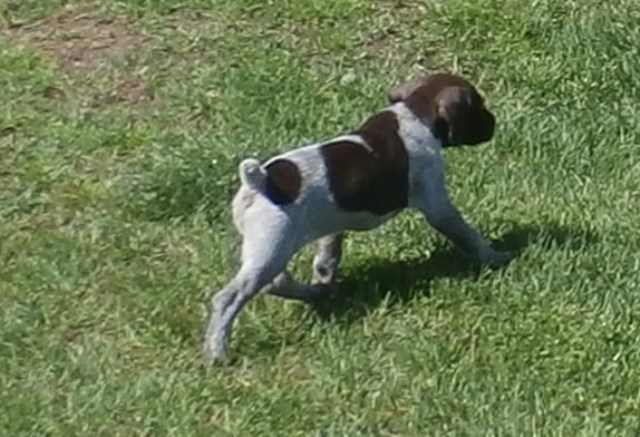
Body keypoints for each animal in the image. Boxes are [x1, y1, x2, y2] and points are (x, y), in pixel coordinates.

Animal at [205, 72, 516, 364]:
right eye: (479, 106)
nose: (494, 122)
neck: (414, 112)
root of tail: (258, 183)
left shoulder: (330, 224)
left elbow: (327, 258)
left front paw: (326, 282)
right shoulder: (437, 204)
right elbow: (467, 235)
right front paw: (495, 257)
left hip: (270, 248)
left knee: (277, 282)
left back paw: (313, 293)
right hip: (271, 248)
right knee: (230, 298)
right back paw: (217, 351)